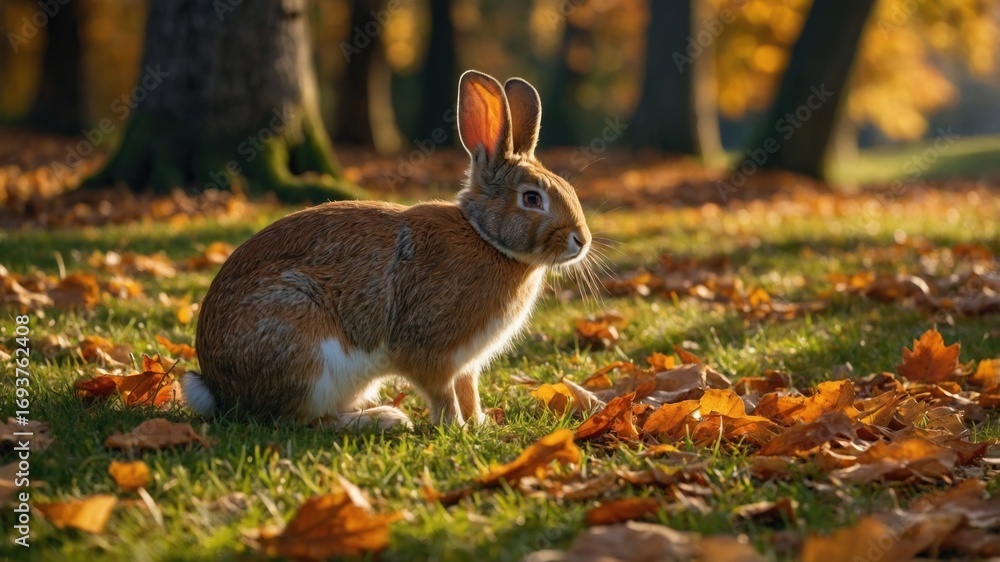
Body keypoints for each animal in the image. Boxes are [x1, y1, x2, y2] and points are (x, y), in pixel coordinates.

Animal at [181, 70, 592, 429]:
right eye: (532, 198)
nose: (582, 240)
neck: (486, 237)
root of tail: (217, 388)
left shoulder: (466, 364)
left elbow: (468, 390)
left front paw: (479, 424)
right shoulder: (429, 350)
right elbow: (442, 393)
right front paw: (457, 427)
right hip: (304, 347)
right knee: (297, 420)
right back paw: (384, 420)